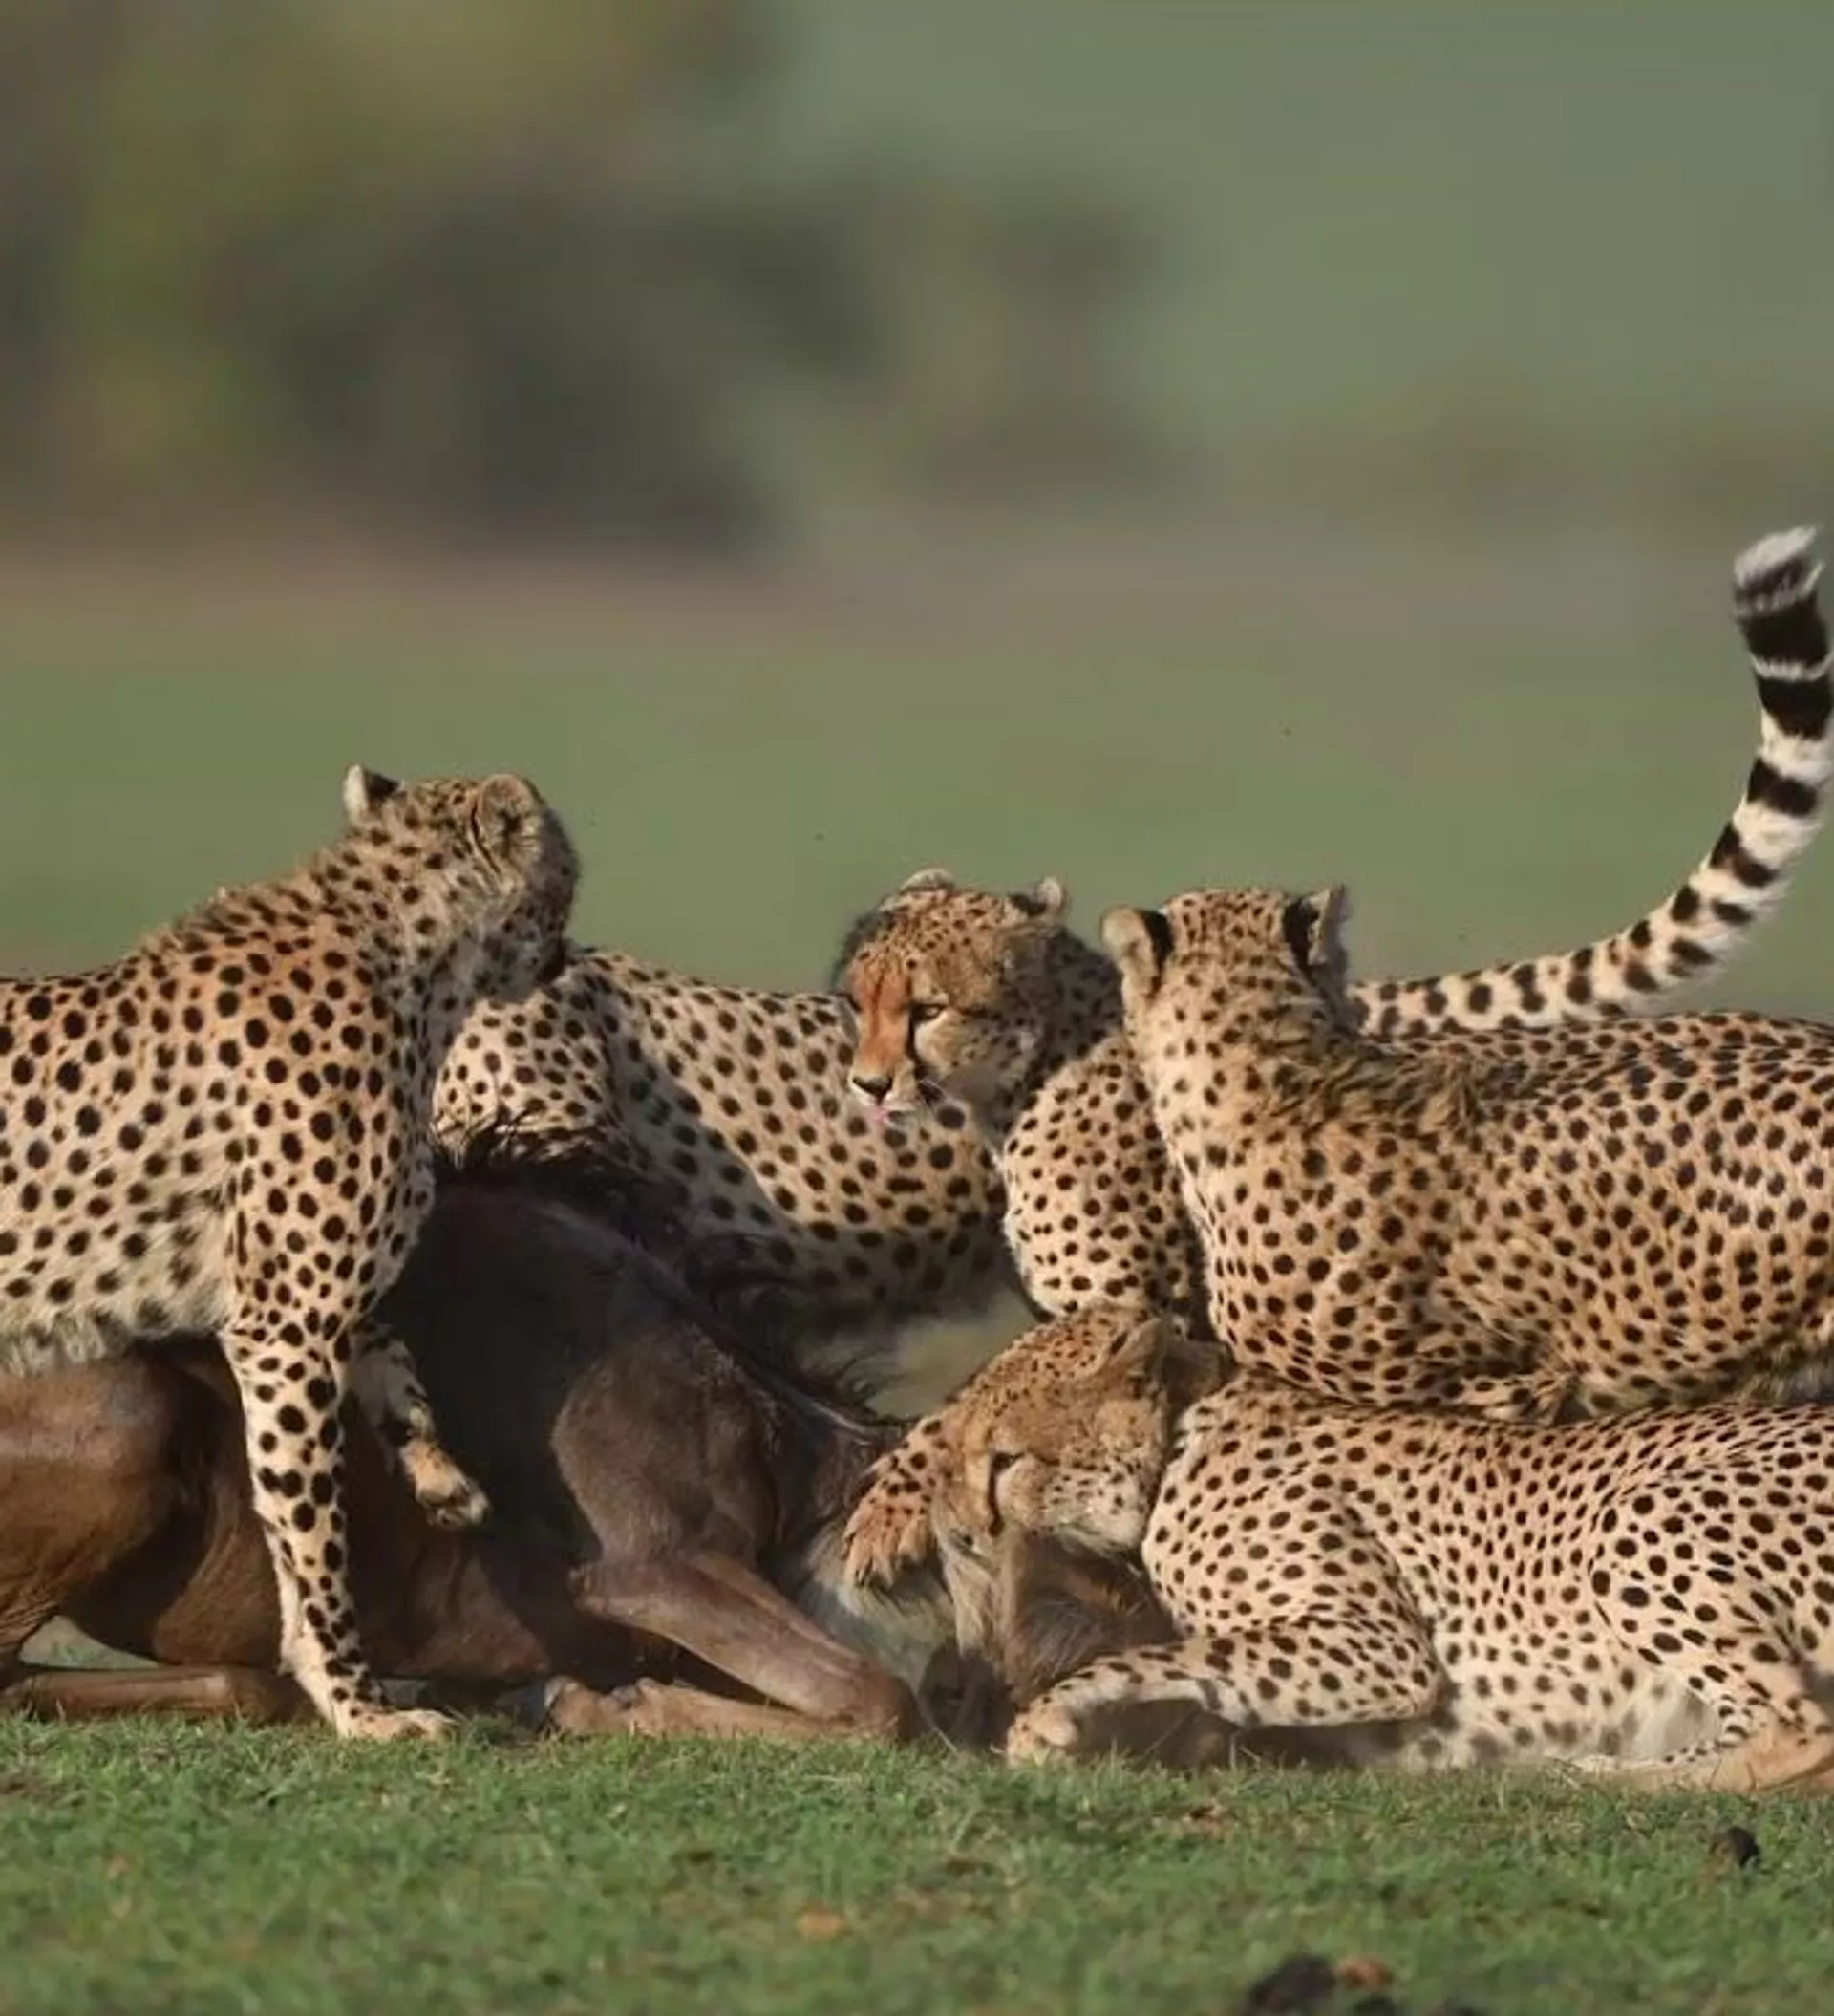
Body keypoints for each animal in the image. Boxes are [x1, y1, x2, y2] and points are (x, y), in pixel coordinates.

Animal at [0, 763, 579, 1738]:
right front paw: (357, 1703)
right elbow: (310, 1534)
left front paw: (441, 1477)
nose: (566, 956)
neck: (409, 959)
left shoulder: (311, 1293)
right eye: (567, 873)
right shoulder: (284, 1331)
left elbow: (393, 1348)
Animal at [905, 1303, 1834, 1795]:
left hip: (1638, 1516)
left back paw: (1586, 1774)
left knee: (1804, 1729)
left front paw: (1049, 1719)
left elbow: (1176, 1655)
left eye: (1005, 1458)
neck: (1180, 1440)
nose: (966, 1531)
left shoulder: (1381, 1649)